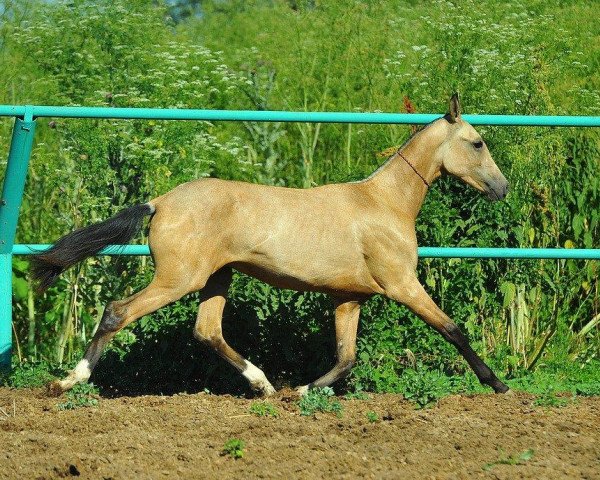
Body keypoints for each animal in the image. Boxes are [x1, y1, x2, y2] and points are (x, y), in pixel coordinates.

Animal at [32, 94, 508, 398]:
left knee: (207, 331)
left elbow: (346, 357)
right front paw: (498, 383)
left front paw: (299, 391)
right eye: (477, 142)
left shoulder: (348, 298)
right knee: (118, 312)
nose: (502, 188)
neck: (384, 204)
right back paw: (66, 382)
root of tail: (161, 201)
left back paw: (264, 385)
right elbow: (452, 329)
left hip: (217, 278)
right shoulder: (402, 284)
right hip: (178, 279)